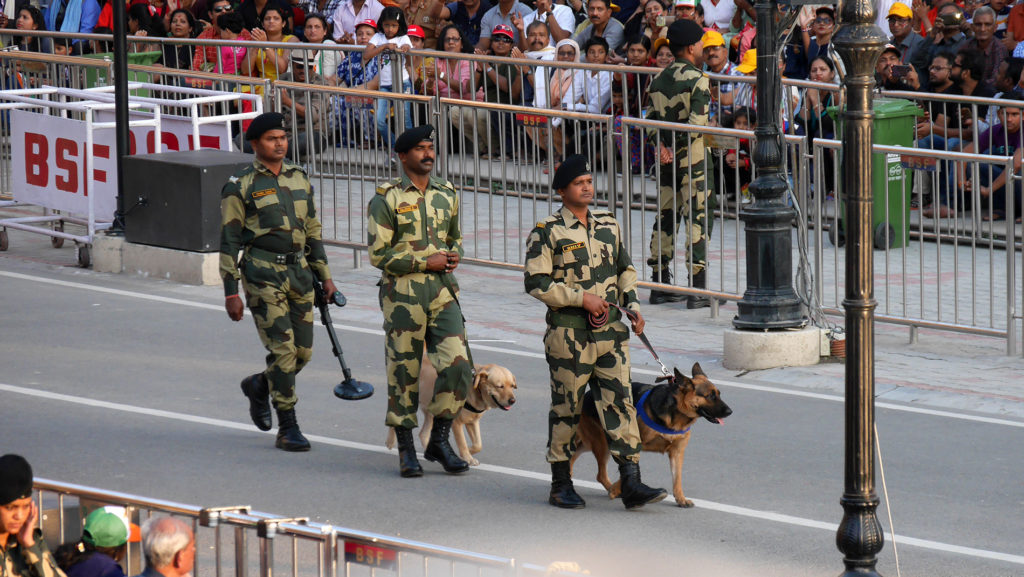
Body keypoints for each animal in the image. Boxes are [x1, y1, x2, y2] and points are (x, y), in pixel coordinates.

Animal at [385, 358, 516, 467]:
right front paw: (467, 457)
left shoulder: (473, 422)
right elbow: (462, 442)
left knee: (423, 433)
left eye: (512, 386)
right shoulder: (457, 423)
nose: (513, 400)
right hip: (409, 402)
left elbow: (478, 444)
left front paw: (469, 451)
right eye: (500, 386)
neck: (475, 391)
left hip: (432, 412)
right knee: (397, 418)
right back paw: (390, 441)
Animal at [573, 362, 733, 508]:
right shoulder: (635, 443)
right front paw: (619, 489)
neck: (677, 415)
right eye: (710, 396)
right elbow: (627, 467)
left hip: (591, 443)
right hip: (602, 443)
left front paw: (680, 499)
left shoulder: (677, 452)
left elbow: (677, 478)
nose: (730, 411)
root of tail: (586, 396)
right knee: (599, 473)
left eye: (718, 394)